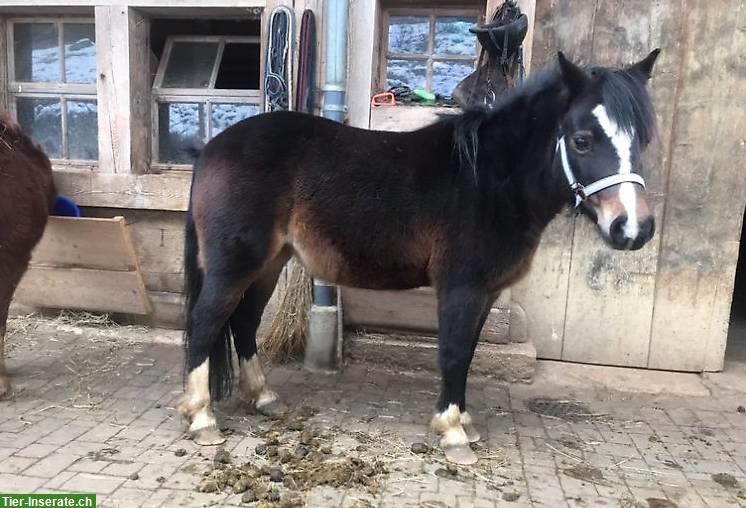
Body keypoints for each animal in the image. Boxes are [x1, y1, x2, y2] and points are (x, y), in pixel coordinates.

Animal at [179, 51, 656, 464]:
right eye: (582, 140)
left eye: (642, 141)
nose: (634, 228)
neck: (488, 179)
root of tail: (211, 149)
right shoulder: (461, 289)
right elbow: (453, 354)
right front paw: (452, 432)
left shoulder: (485, 293)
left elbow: (468, 353)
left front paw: (465, 422)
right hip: (234, 265)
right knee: (206, 324)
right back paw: (202, 419)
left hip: (269, 262)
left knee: (243, 322)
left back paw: (263, 397)